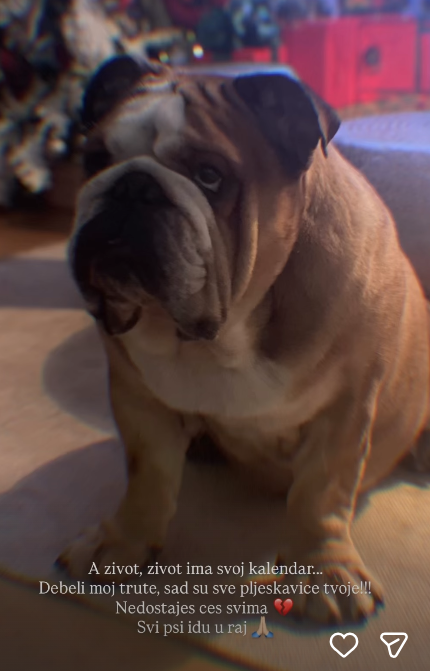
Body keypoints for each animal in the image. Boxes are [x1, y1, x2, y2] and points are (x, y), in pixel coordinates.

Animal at [62, 55, 430, 623]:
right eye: (94, 158)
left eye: (211, 176)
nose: (130, 186)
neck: (225, 334)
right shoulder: (137, 398)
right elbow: (147, 478)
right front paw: (120, 543)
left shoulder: (345, 409)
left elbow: (320, 494)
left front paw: (323, 571)